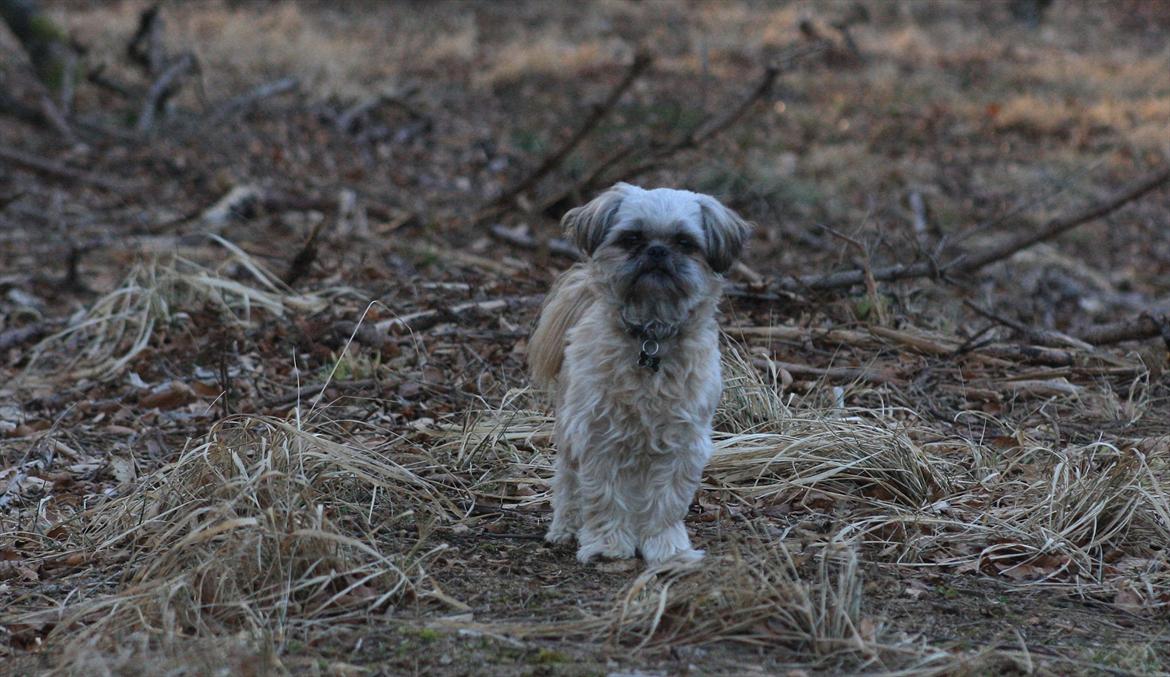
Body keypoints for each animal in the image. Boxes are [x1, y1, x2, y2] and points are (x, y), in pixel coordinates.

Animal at [528, 182, 748, 563]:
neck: (651, 336)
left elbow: (666, 501)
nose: (657, 251)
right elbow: (605, 495)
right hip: (570, 429)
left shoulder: (681, 443)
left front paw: (666, 547)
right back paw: (565, 529)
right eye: (632, 238)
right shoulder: (599, 436)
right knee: (569, 483)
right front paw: (608, 544)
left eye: (685, 243)